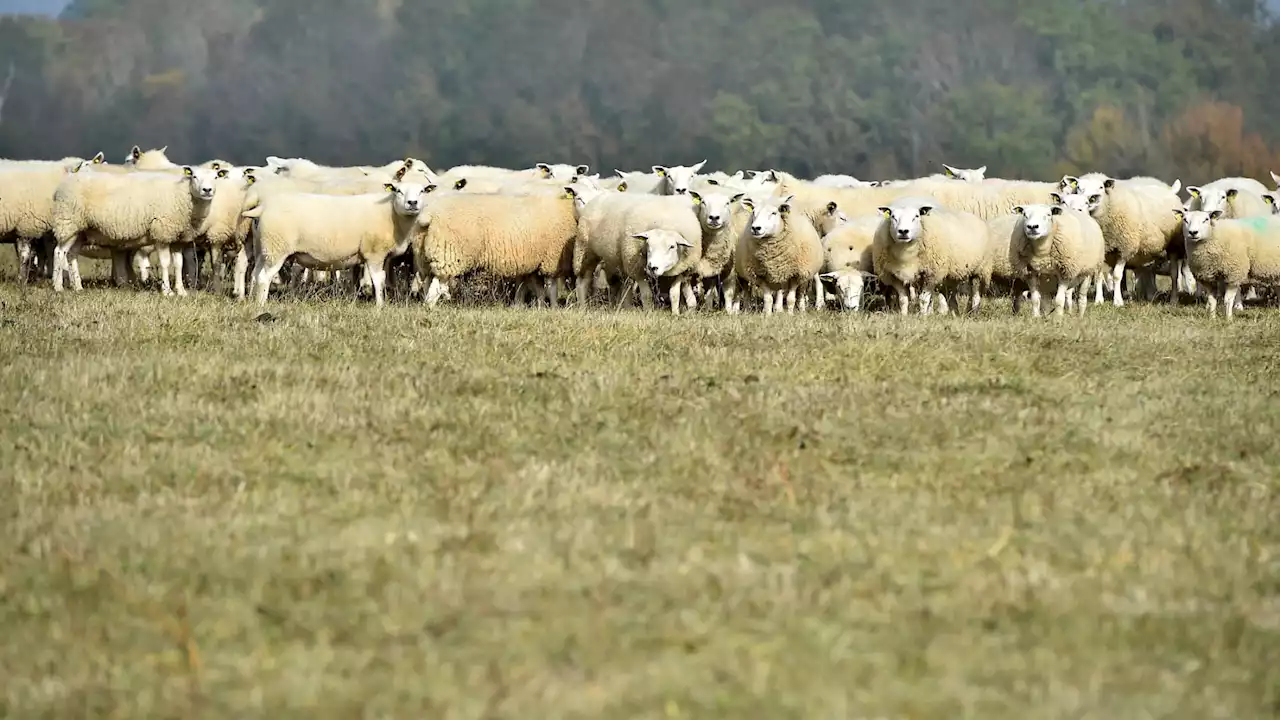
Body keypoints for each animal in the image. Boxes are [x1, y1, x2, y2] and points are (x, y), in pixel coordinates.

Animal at [51, 165, 222, 294]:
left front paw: (181, 291)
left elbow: (179, 264)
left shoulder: (178, 238)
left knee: (71, 254)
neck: (183, 195)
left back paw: (78, 287)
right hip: (68, 222)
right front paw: (167, 291)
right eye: (194, 176)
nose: (207, 190)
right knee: (59, 252)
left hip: (80, 230)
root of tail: (63, 184)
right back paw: (58, 287)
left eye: (215, 177)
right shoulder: (161, 232)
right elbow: (165, 263)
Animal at [243, 180, 435, 303]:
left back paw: (252, 301)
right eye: (398, 191)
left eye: (422, 191)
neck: (391, 214)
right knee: (264, 277)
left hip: (263, 248)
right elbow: (378, 279)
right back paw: (261, 304)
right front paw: (380, 306)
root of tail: (263, 207)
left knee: (255, 274)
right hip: (277, 247)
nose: (412, 203)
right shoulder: (374, 252)